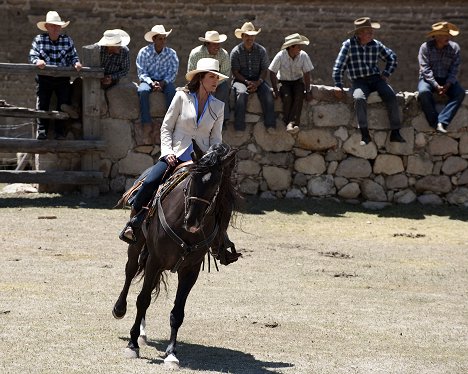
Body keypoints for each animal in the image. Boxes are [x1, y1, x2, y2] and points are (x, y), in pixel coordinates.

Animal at [112, 142, 238, 366]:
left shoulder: (190, 270)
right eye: (193, 177)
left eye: (216, 184)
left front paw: (171, 353)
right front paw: (132, 344)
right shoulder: (154, 260)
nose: (192, 221)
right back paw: (120, 310)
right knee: (130, 272)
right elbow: (142, 300)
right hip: (136, 246)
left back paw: (143, 332)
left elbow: (177, 312)